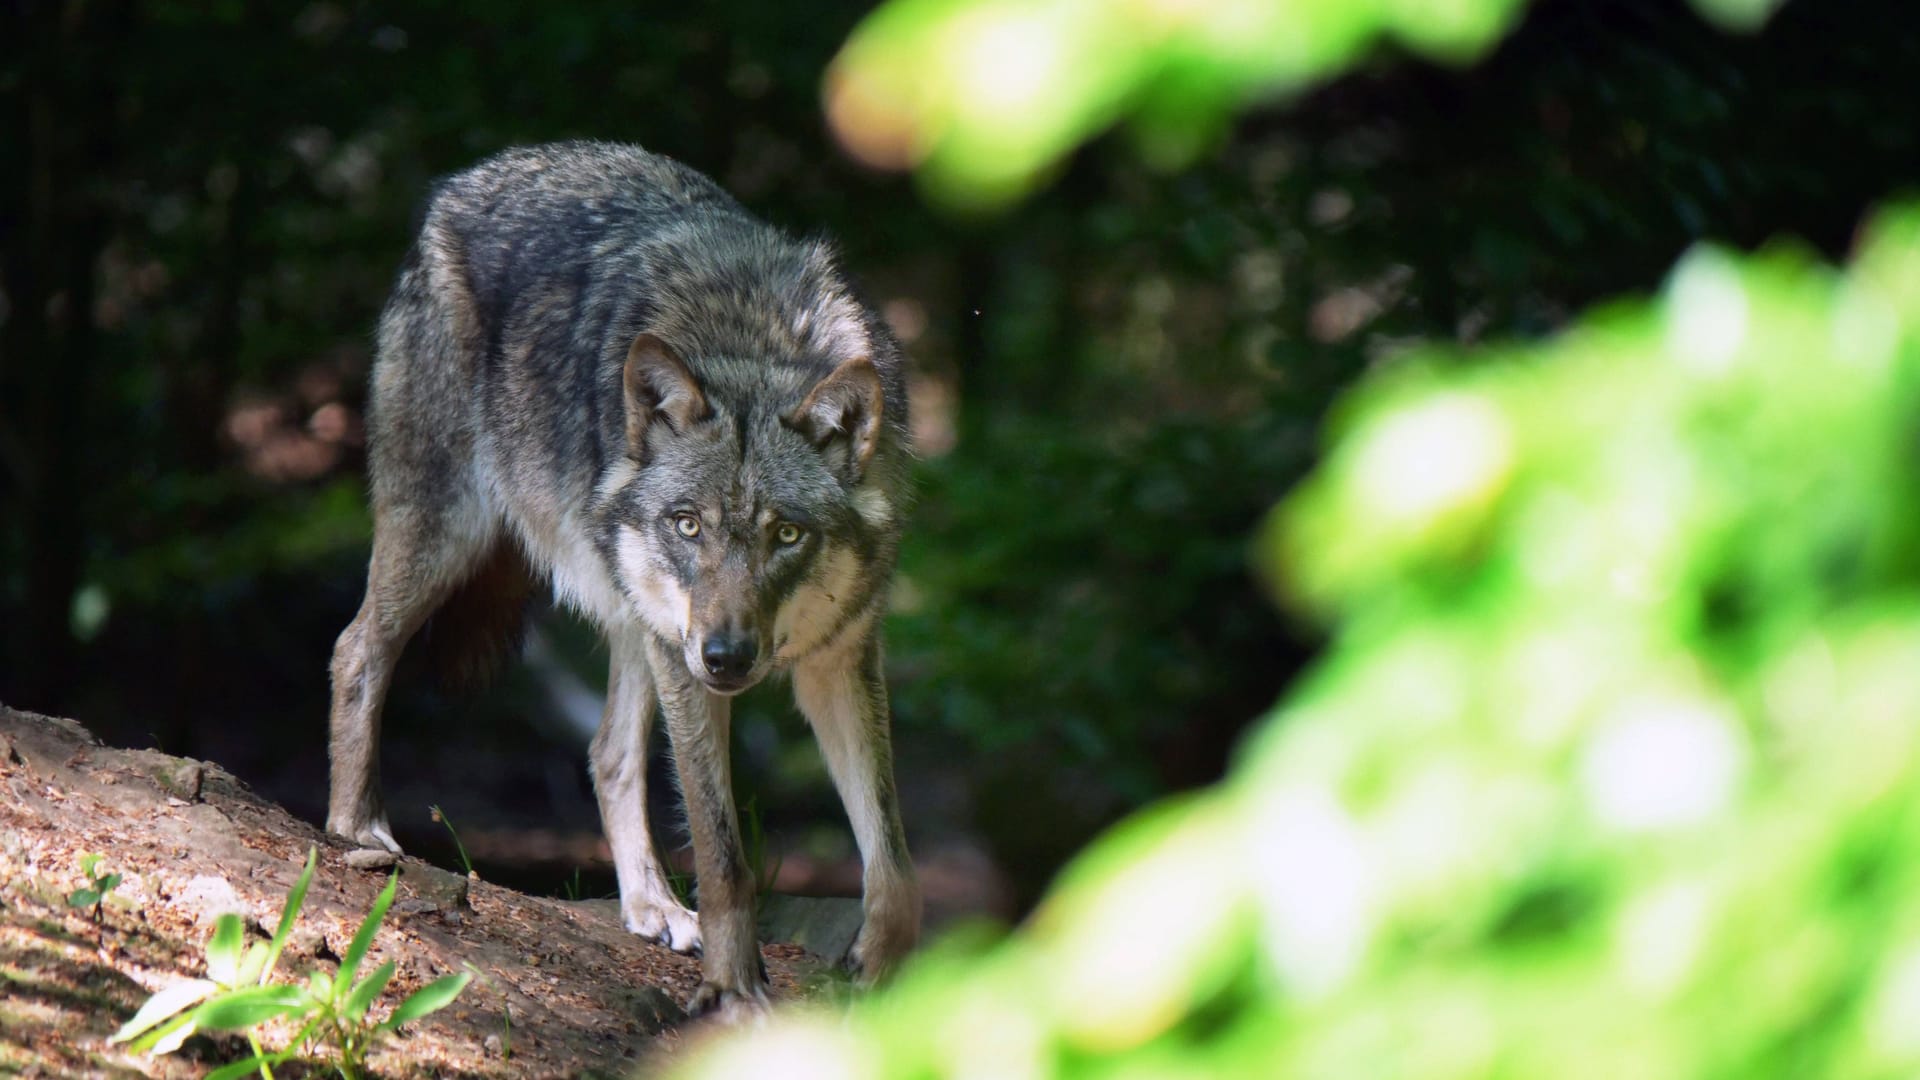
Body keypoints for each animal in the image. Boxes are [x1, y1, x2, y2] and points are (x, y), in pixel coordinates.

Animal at [322, 138, 921, 1014]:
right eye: (689, 524)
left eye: (785, 534)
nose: (728, 658)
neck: (751, 345)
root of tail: (465, 181)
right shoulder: (688, 660)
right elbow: (724, 855)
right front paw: (736, 991)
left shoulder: (837, 658)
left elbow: (893, 858)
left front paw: (880, 974)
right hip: (451, 537)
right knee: (357, 647)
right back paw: (354, 826)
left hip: (638, 616)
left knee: (607, 752)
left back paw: (651, 908)